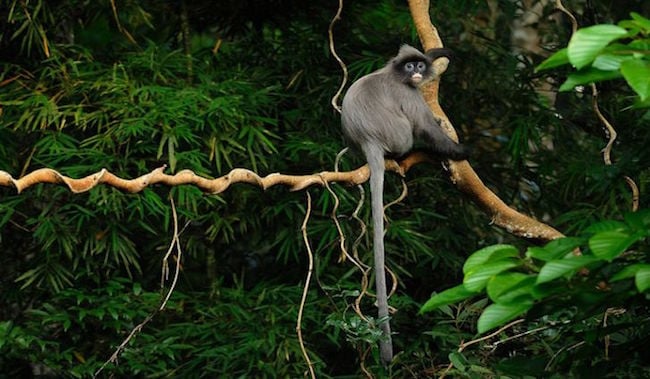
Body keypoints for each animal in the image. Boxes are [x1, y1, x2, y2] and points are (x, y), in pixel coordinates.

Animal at [340, 43, 466, 366]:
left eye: (417, 65)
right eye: (409, 68)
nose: (418, 71)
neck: (395, 75)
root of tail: (368, 141)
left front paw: (438, 53)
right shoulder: (407, 94)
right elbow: (424, 126)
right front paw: (461, 151)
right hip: (398, 135)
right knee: (414, 131)